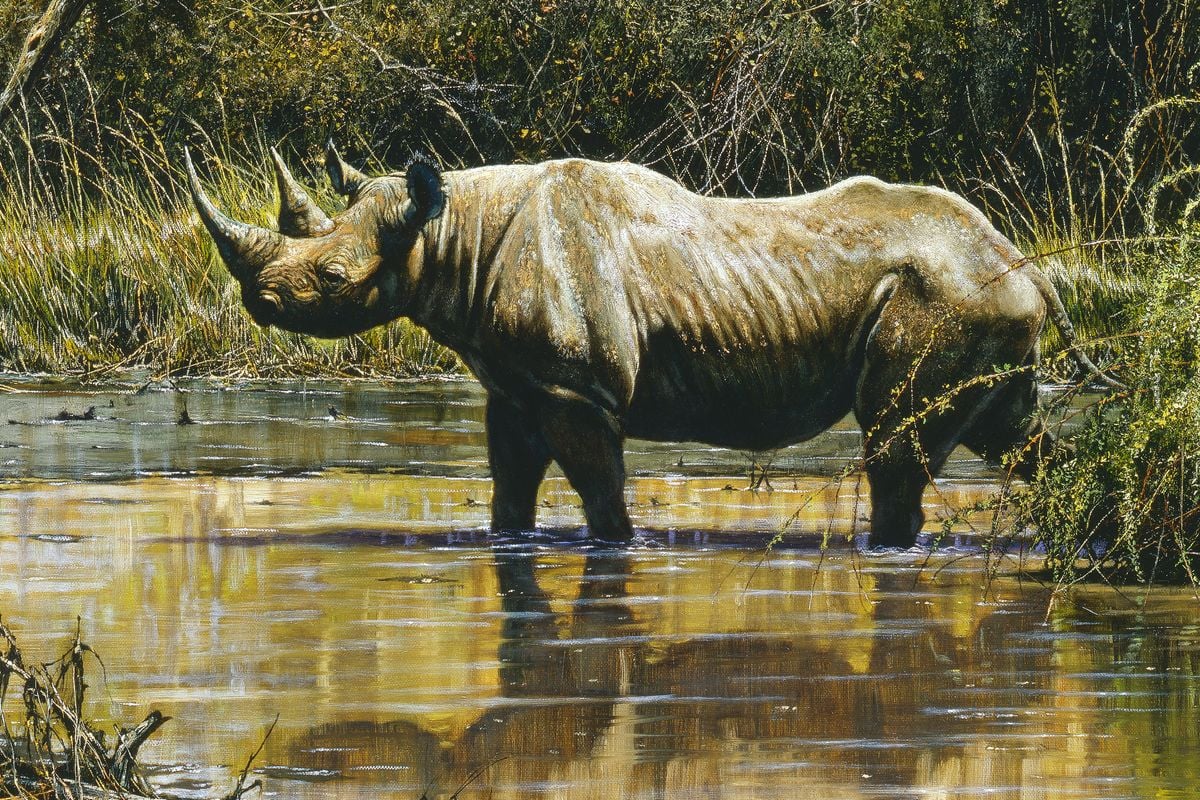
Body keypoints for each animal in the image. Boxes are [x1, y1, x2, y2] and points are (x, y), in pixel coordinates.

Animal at [185, 145, 1113, 547]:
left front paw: (619, 549)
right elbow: (509, 489)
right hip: (983, 304)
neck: (452, 232)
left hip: (948, 297)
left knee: (898, 445)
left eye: (334, 278)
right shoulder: (517, 384)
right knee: (1011, 432)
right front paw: (508, 542)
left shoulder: (575, 388)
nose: (260, 302)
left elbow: (601, 495)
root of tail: (1027, 267)